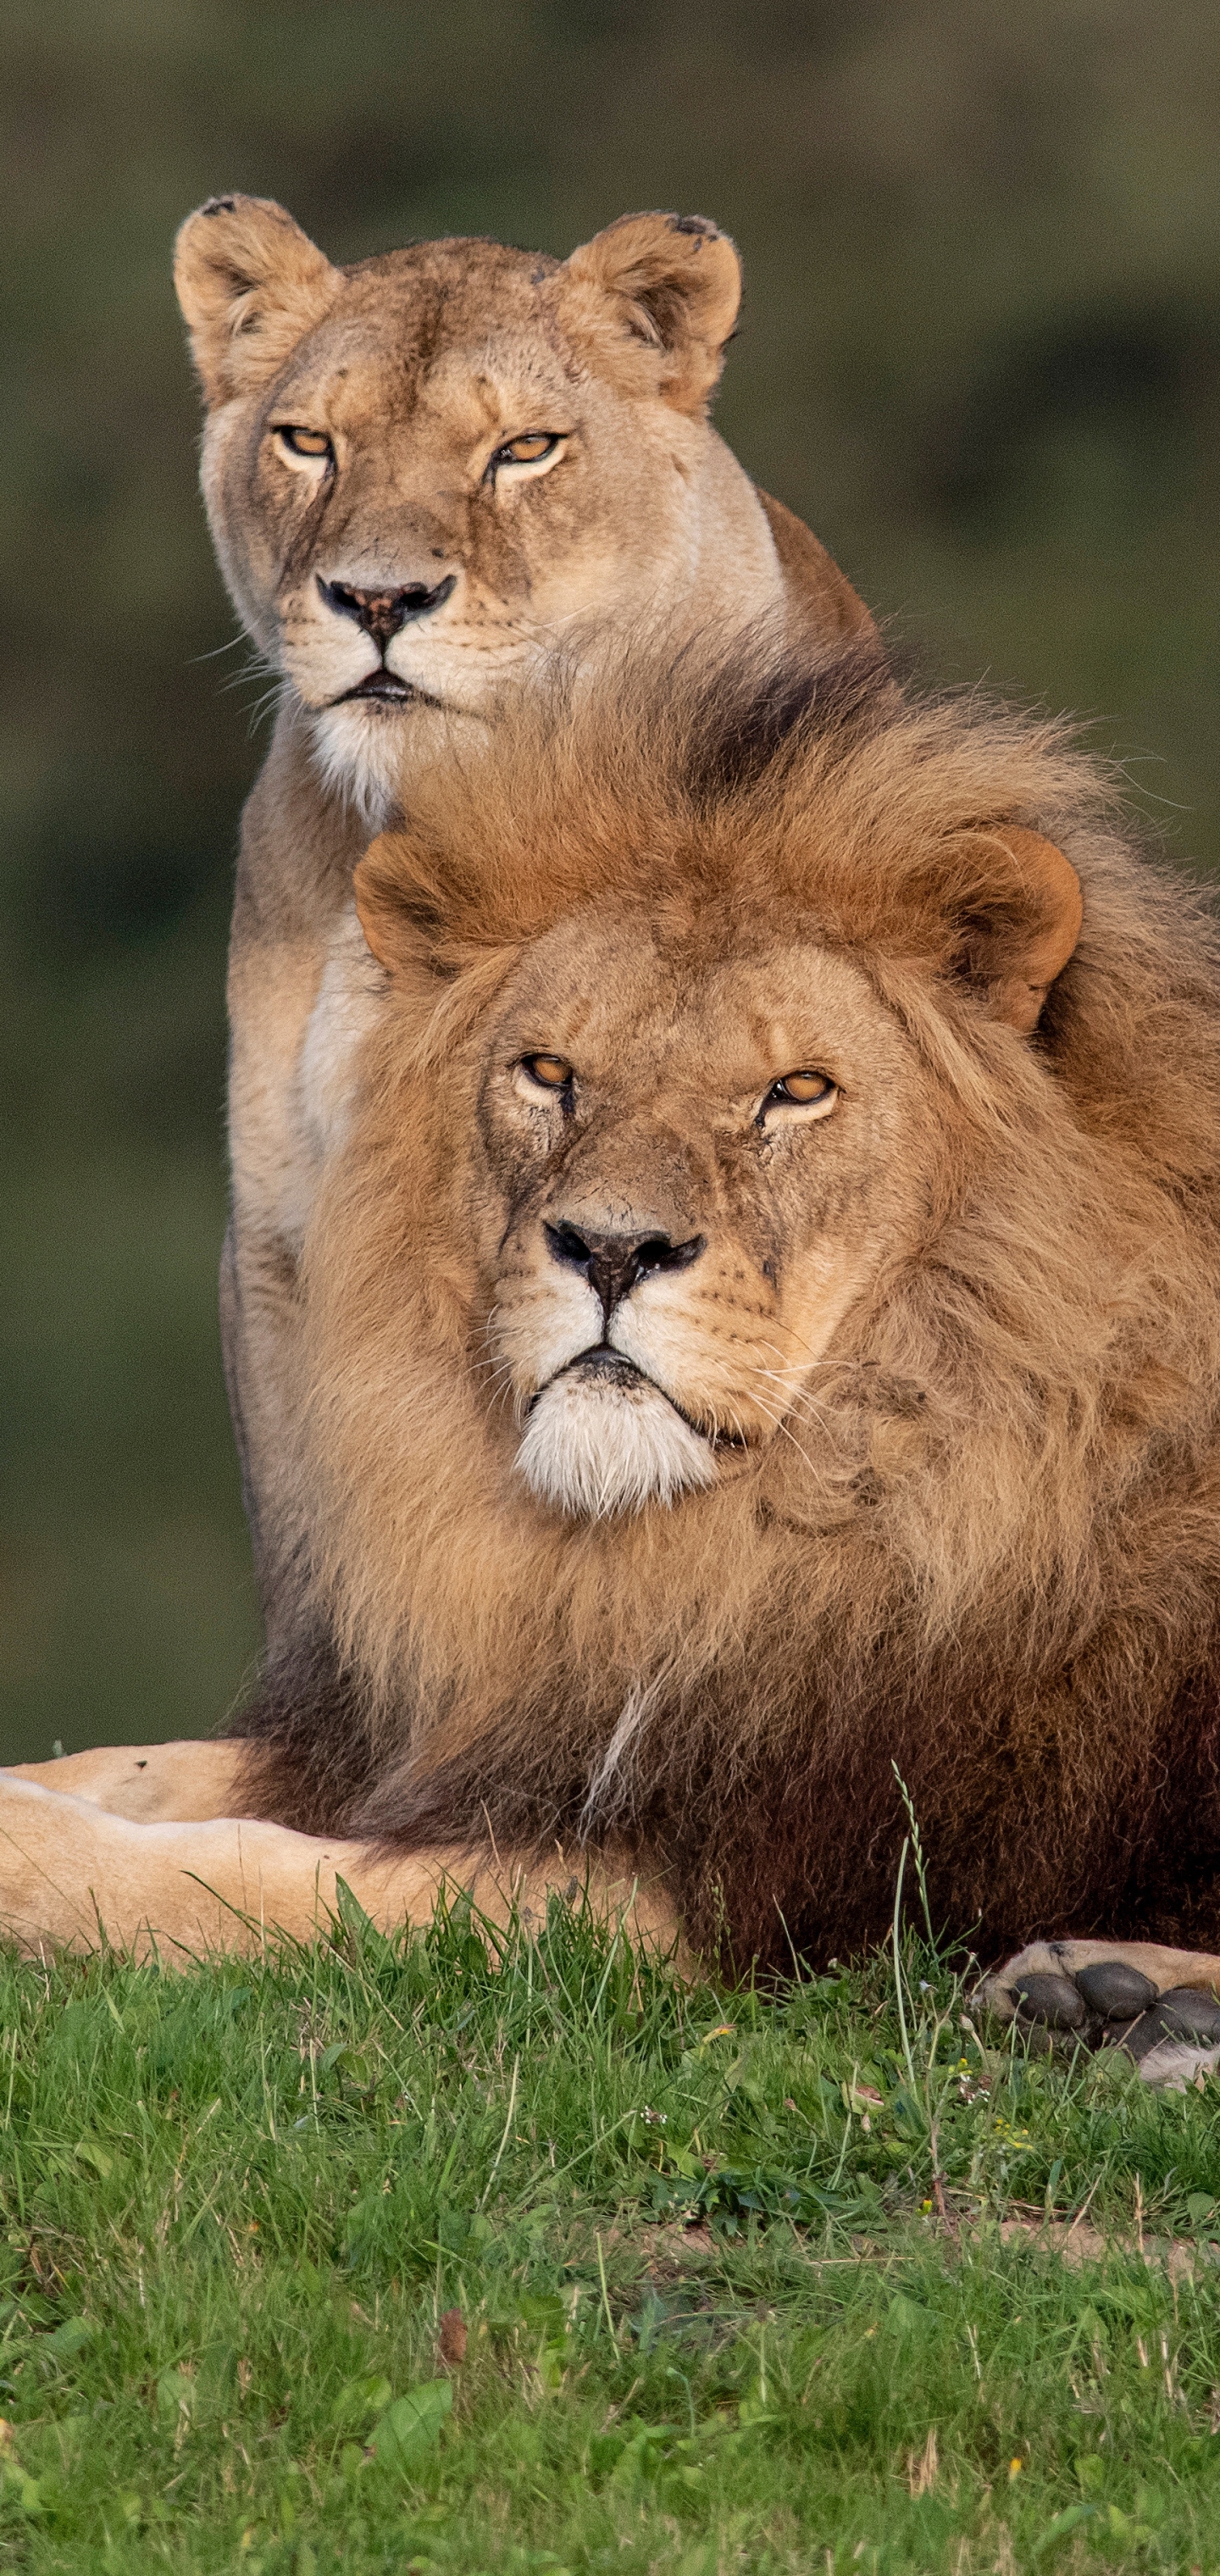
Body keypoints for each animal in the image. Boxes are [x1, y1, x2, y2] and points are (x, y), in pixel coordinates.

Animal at [7, 638, 1220, 2071]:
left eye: (796, 1092)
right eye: (548, 1072)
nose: (611, 1248)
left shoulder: (692, 1882)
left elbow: (245, 1873)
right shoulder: (483, 1732)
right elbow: (138, 1769)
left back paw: (1114, 1992)